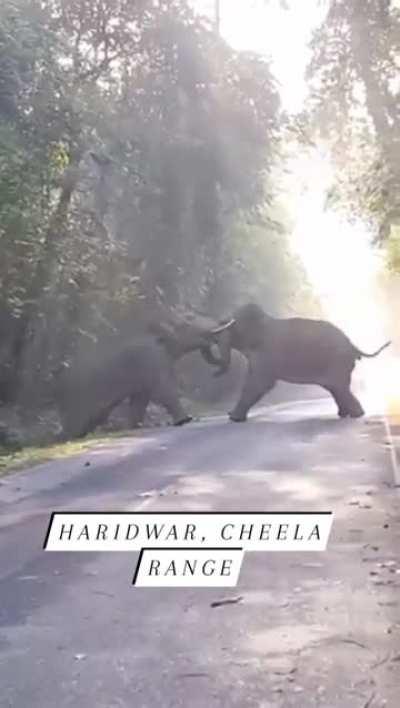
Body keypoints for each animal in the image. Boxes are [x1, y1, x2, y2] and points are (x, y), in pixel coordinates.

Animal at [57, 318, 220, 440]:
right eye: (187, 323)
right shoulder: (151, 360)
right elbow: (162, 392)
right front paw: (186, 419)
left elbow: (140, 400)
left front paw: (134, 426)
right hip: (79, 398)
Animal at [203, 303, 390, 422]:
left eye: (228, 325)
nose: (213, 374)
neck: (263, 322)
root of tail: (353, 344)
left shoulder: (268, 352)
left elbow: (260, 383)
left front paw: (234, 418)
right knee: (337, 388)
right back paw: (346, 414)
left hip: (337, 361)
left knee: (339, 387)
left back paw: (356, 415)